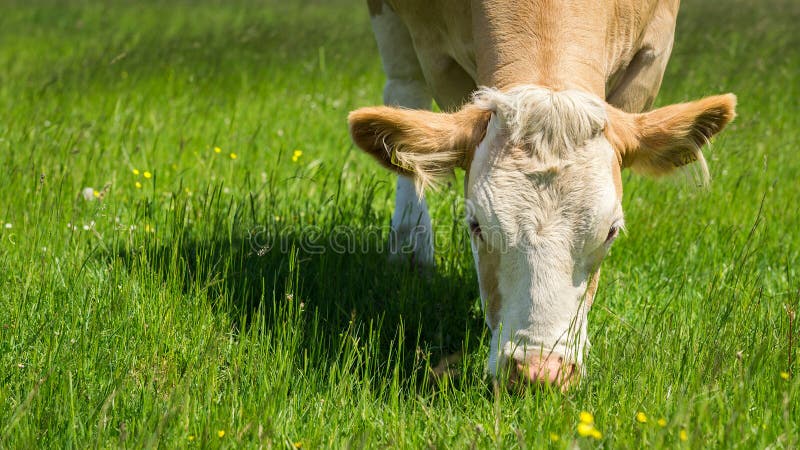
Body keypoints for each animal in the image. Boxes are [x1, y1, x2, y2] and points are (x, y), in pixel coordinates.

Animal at [346, 0, 736, 388]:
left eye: (611, 231)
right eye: (476, 226)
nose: (539, 372)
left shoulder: (652, 53)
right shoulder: (433, 51)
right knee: (404, 91)